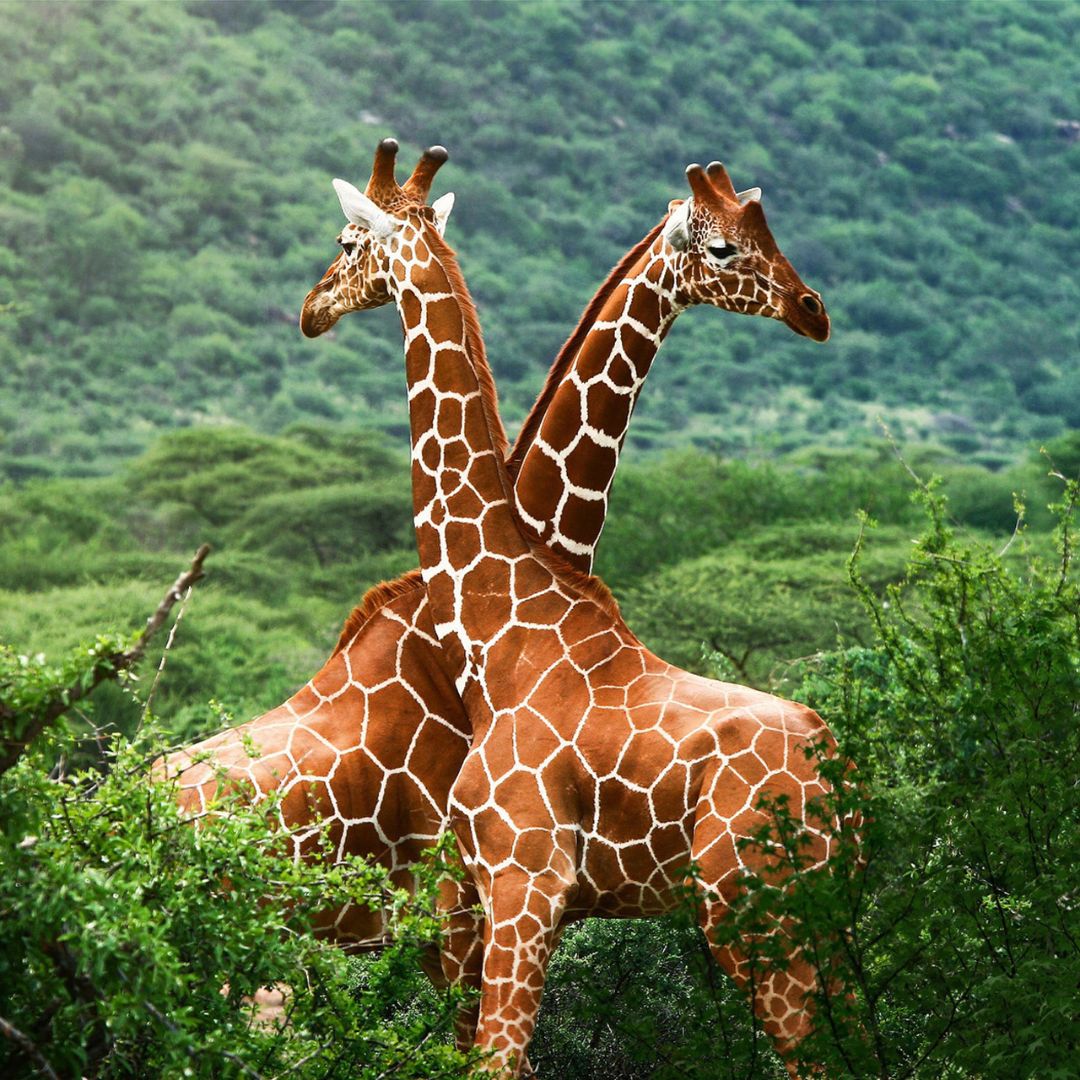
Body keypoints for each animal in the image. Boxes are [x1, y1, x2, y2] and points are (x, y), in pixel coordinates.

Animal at [299, 140, 846, 1077]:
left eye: (344, 240)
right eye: (726, 246)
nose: (311, 308)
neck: (501, 617)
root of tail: (837, 771)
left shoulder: (521, 881)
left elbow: (495, 1060)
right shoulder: (486, 896)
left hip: (755, 909)